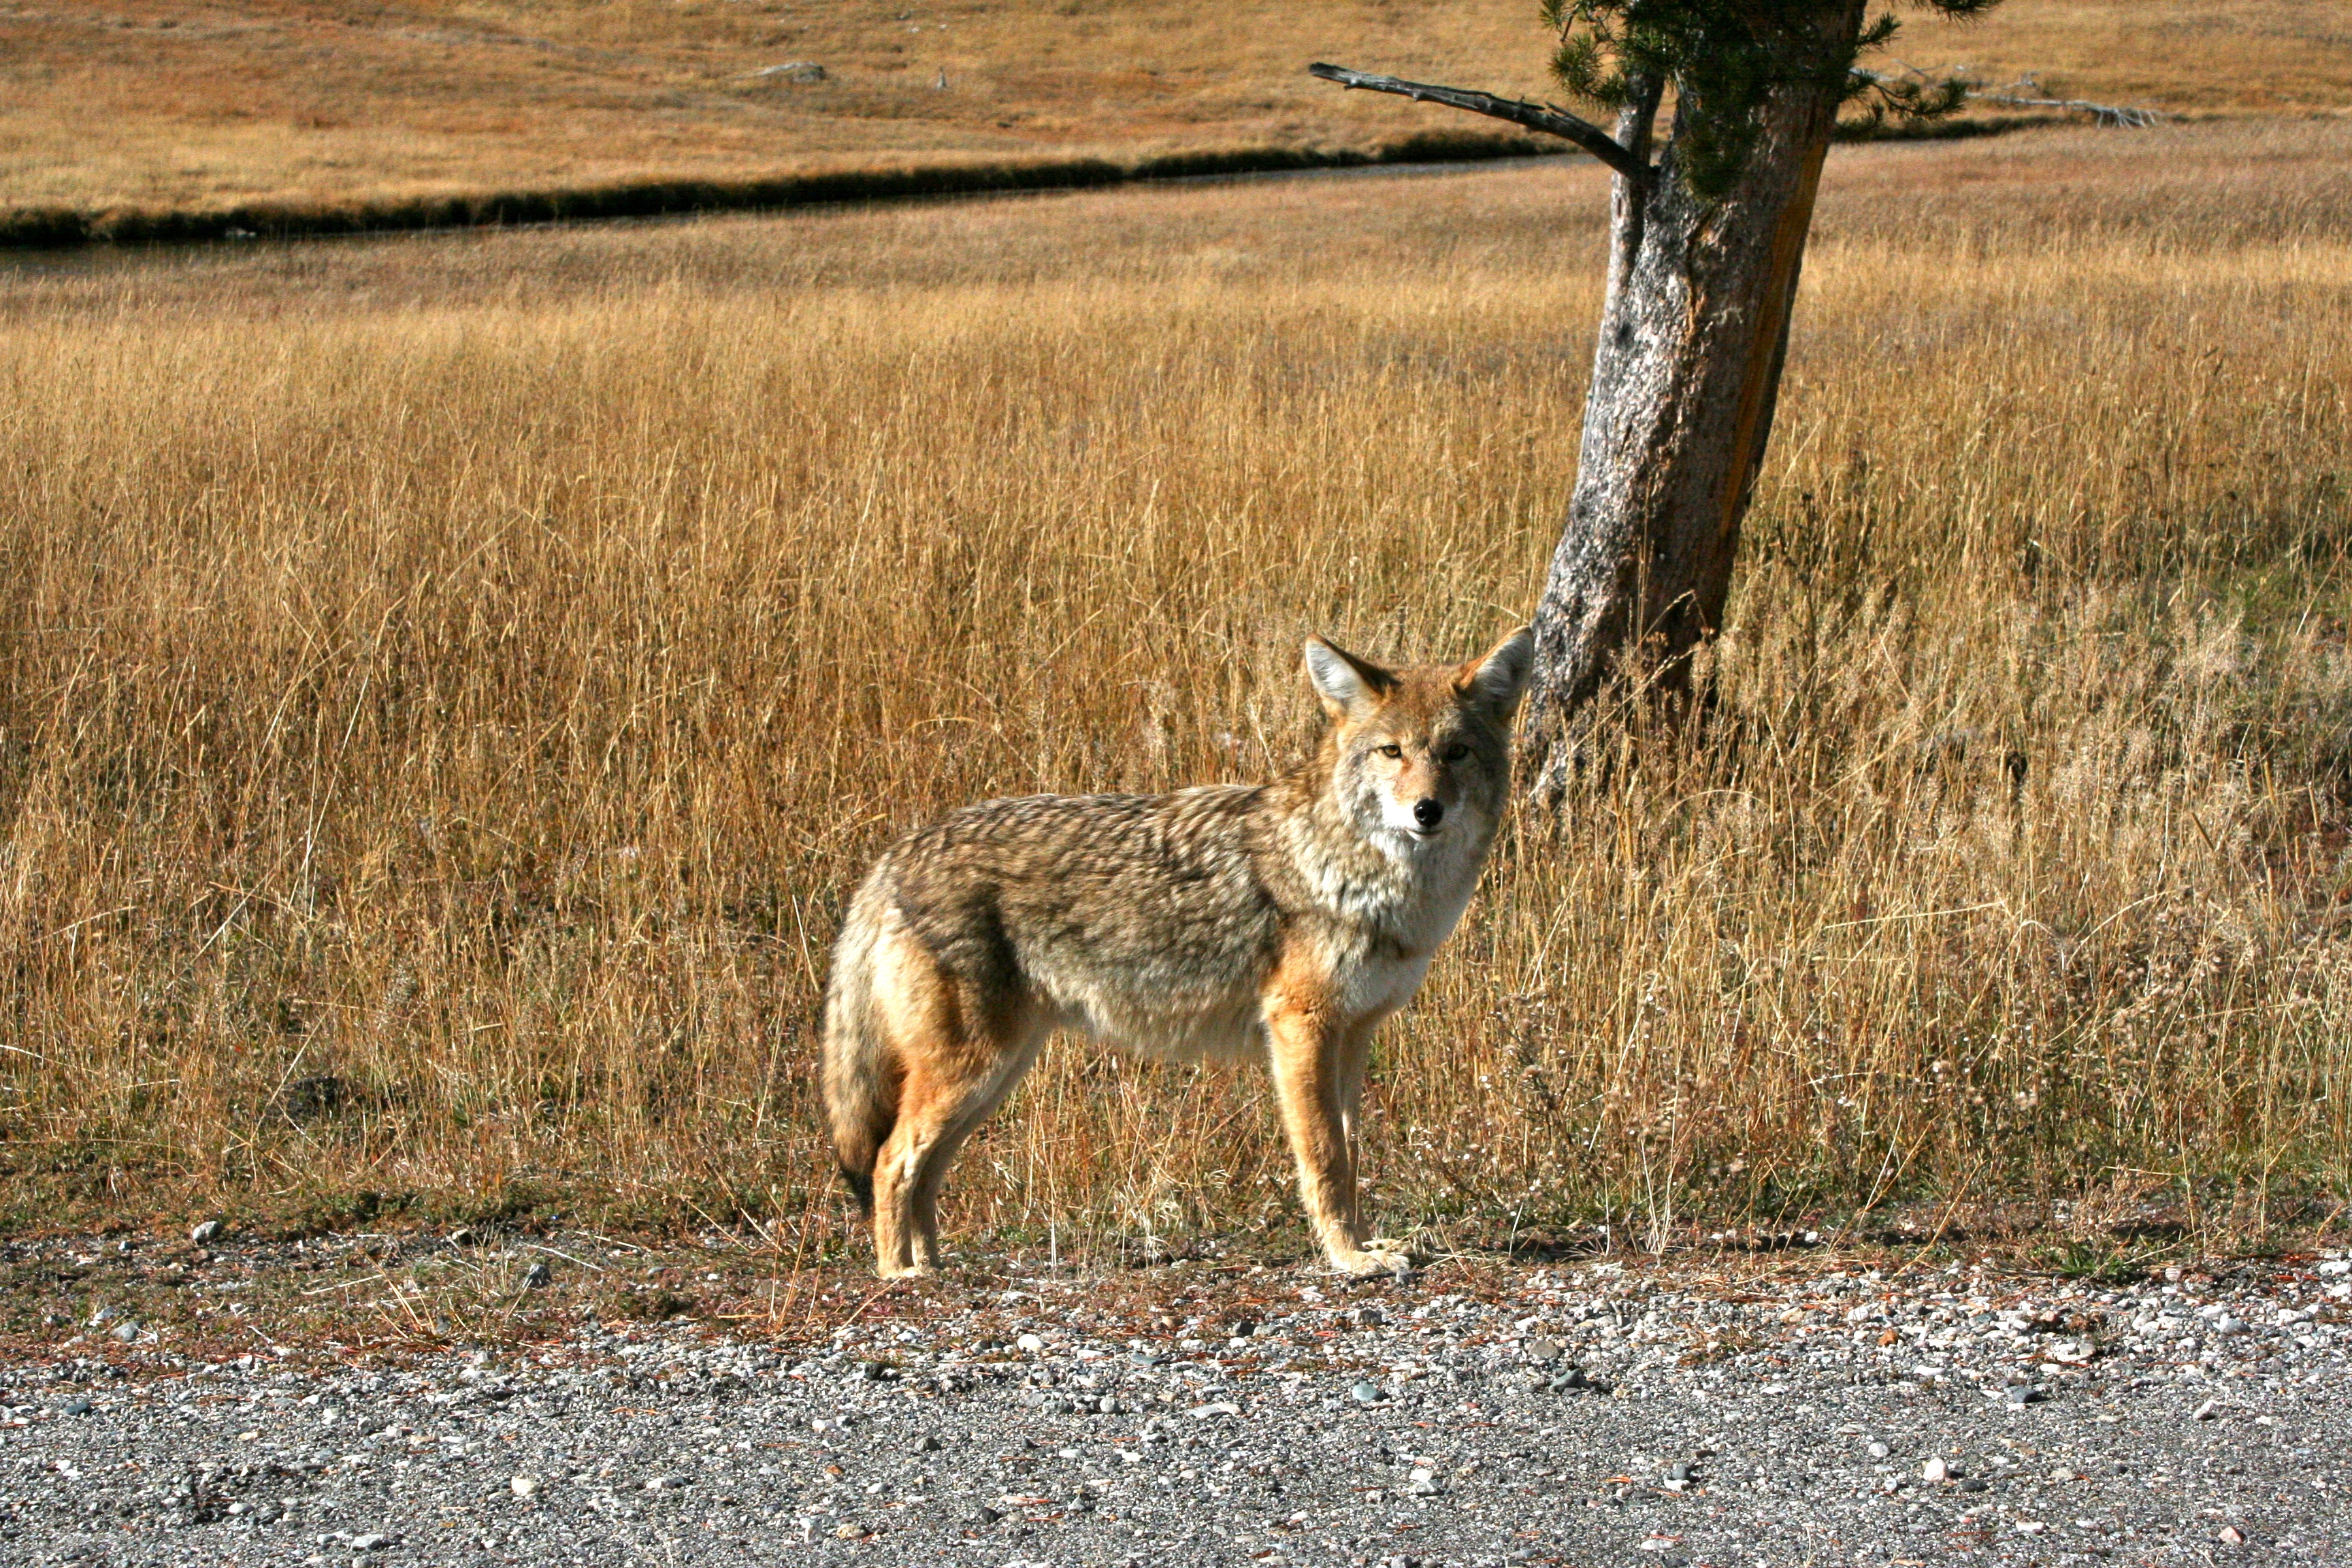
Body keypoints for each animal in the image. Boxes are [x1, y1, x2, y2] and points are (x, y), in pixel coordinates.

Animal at [821, 627, 1534, 1277]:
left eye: (1456, 752)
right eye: (1392, 752)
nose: (1426, 810)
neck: (1366, 875)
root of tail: (893, 855)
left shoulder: (1354, 1035)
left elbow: (1351, 1154)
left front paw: (1364, 1245)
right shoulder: (1301, 1028)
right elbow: (1326, 1159)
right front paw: (1348, 1258)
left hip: (994, 1075)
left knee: (922, 1171)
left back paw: (933, 1266)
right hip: (973, 1069)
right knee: (890, 1162)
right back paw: (899, 1275)